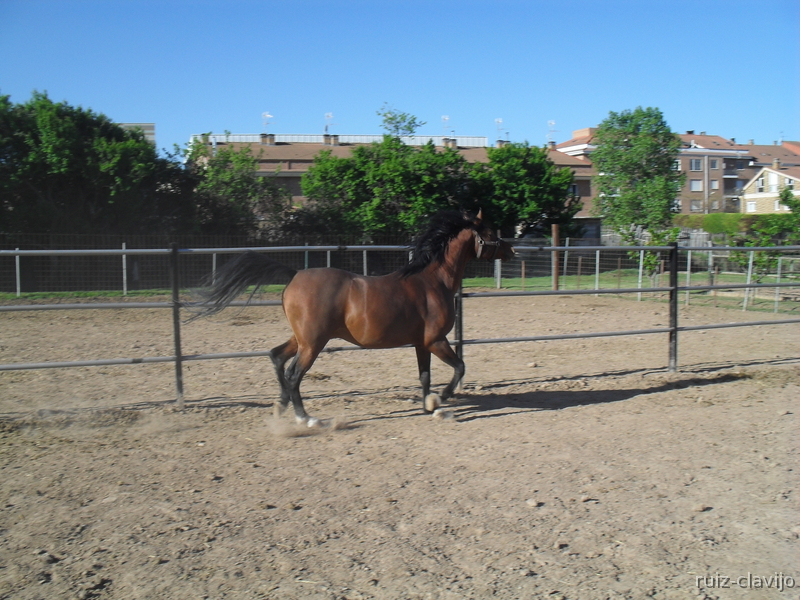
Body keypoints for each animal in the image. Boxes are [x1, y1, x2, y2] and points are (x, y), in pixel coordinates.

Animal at [193, 210, 515, 427]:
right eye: (490, 231)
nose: (512, 249)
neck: (432, 281)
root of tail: (295, 274)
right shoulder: (437, 340)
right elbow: (460, 367)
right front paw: (442, 400)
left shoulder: (421, 344)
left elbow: (425, 376)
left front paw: (429, 405)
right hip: (313, 343)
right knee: (294, 374)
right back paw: (306, 418)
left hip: (301, 339)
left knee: (276, 357)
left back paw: (281, 407)